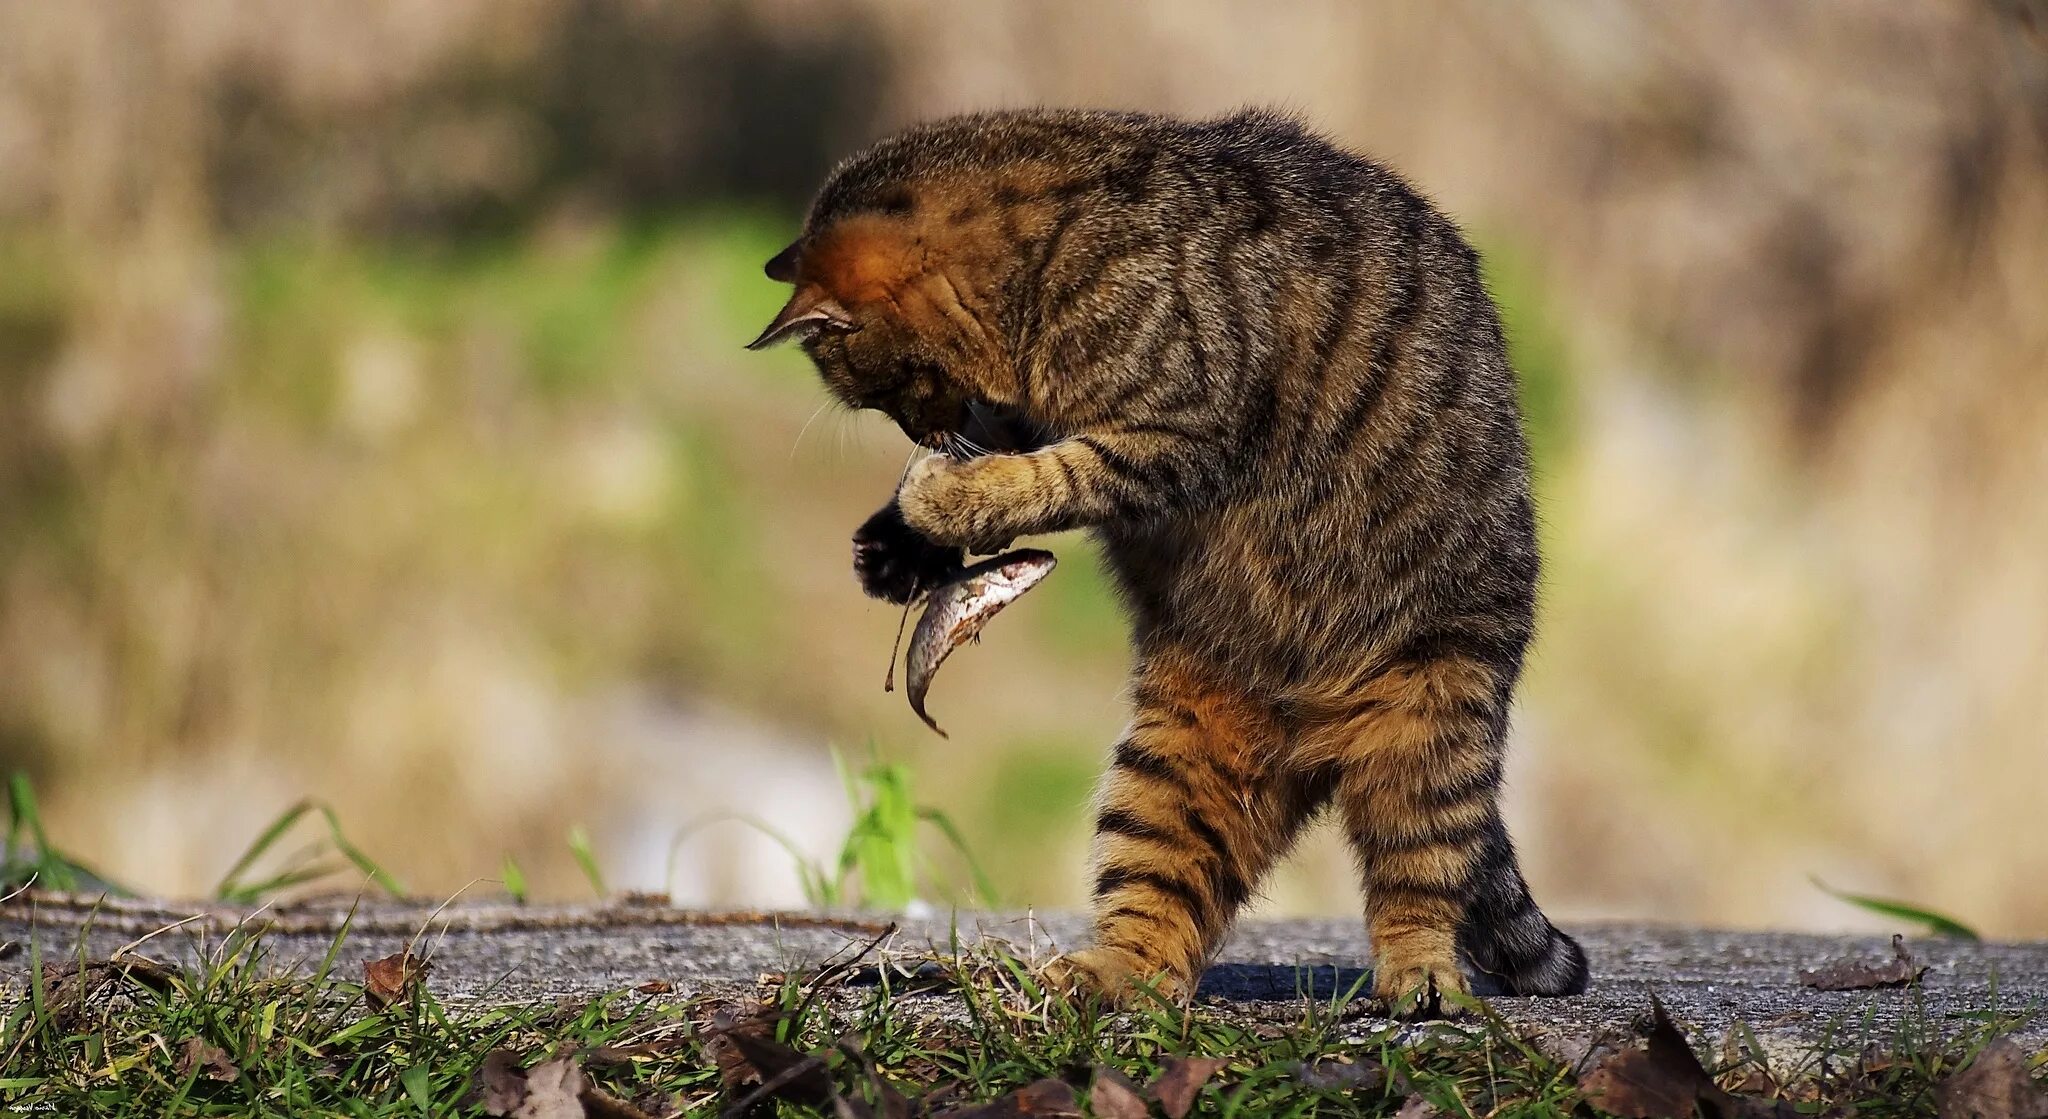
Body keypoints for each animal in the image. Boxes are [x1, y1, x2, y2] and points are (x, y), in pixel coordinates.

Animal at [761, 111, 1589, 1008]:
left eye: (879, 391)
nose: (919, 431)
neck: (1043, 255)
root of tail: (1316, 735)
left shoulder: (1172, 433)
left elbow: (1043, 477)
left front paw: (938, 499)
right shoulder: (1034, 415)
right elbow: (1016, 456)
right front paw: (898, 542)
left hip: (1432, 715)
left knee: (1419, 877)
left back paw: (1424, 978)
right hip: (1175, 758)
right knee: (1159, 903)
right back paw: (1108, 971)